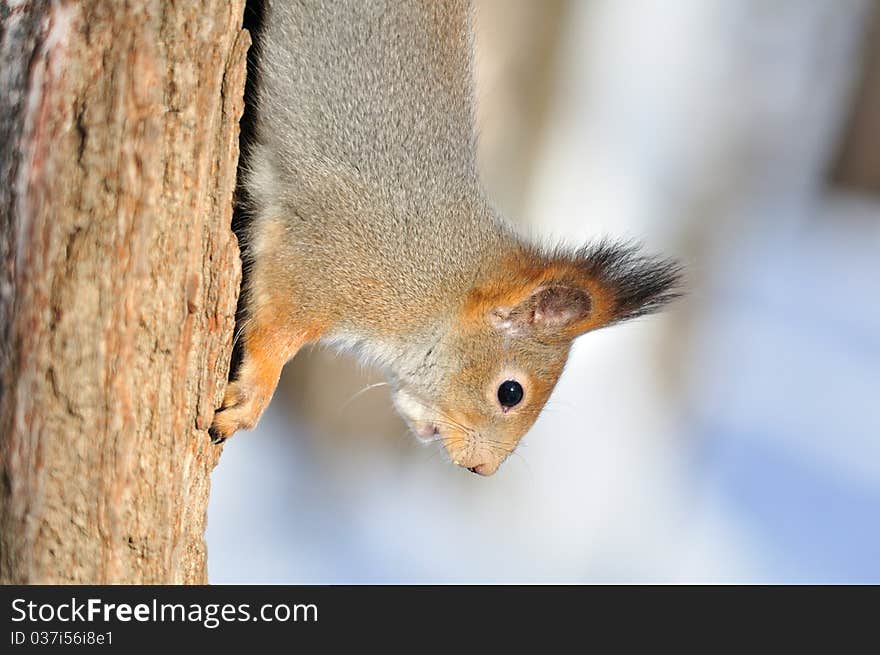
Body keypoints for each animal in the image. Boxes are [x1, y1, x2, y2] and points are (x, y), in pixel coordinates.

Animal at [211, 2, 680, 480]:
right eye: (510, 393)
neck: (441, 283)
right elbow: (275, 332)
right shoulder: (324, 261)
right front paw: (249, 403)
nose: (482, 469)